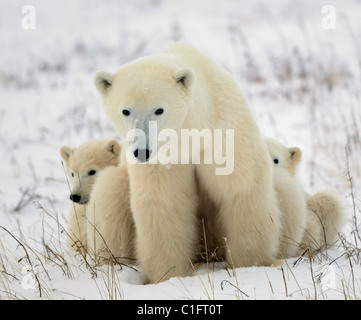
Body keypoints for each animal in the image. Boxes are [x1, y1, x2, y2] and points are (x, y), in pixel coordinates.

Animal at [93, 42, 282, 282]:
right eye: (125, 110)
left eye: (159, 109)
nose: (142, 151)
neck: (189, 137)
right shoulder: (164, 159)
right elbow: (164, 204)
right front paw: (168, 275)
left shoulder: (222, 134)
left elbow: (241, 189)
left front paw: (250, 264)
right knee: (110, 191)